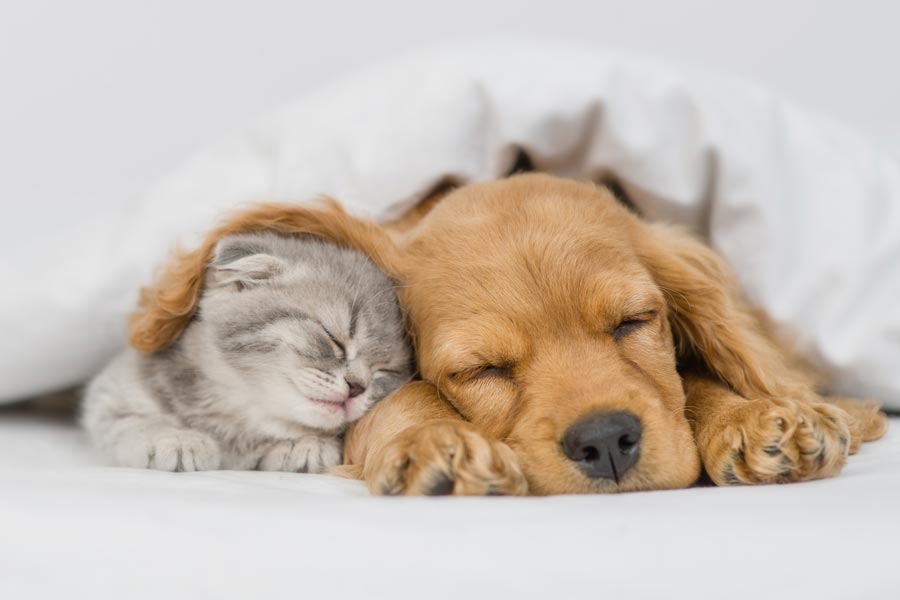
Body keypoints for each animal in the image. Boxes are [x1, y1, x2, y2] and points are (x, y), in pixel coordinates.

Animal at [82, 232, 414, 472]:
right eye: (334, 338)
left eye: (385, 370)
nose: (358, 387)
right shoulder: (107, 396)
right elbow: (132, 422)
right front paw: (175, 438)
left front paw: (306, 444)